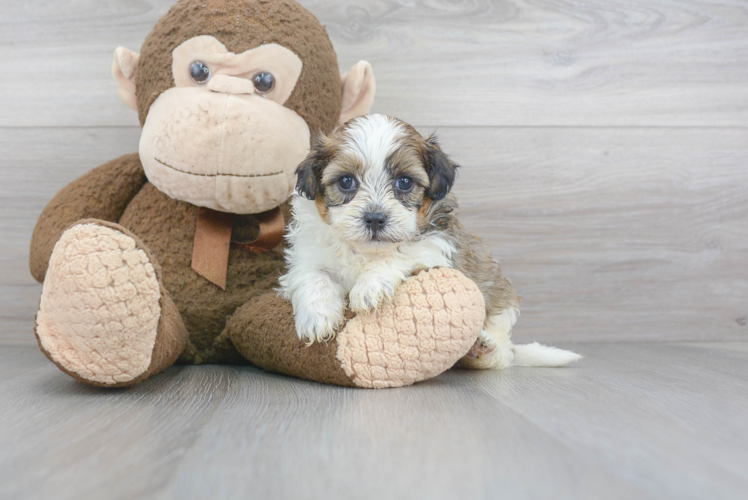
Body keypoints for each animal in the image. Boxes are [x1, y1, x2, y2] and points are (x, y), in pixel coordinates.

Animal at [280, 115, 580, 370]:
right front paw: (317, 318)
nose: (375, 218)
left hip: (500, 310)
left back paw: (482, 348)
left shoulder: (437, 243)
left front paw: (369, 286)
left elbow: (402, 251)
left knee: (503, 356)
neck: (367, 252)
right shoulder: (306, 256)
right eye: (345, 181)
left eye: (404, 182)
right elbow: (313, 277)